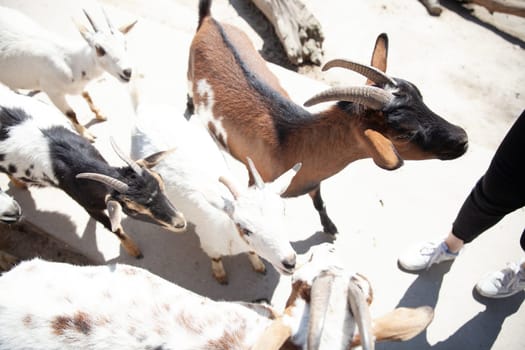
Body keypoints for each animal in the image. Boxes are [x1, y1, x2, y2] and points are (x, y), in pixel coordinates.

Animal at [0, 4, 137, 142]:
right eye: (99, 48)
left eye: (125, 44)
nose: (127, 72)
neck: (72, 61)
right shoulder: (53, 92)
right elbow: (71, 113)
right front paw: (86, 134)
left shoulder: (79, 86)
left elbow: (87, 95)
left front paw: (100, 114)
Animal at [0, 86, 187, 258]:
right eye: (132, 209)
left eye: (160, 180)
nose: (180, 223)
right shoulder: (88, 206)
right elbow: (115, 228)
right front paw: (134, 250)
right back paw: (18, 183)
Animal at [131, 82, 300, 284]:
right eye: (245, 229)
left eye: (283, 212)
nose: (290, 262)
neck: (227, 229)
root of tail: (144, 110)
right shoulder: (208, 241)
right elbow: (216, 258)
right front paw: (221, 276)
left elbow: (252, 254)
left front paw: (259, 265)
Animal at [187, 0, 466, 235]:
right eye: (404, 132)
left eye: (420, 95)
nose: (463, 138)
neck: (290, 141)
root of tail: (211, 20)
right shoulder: (258, 180)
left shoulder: (314, 181)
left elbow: (320, 203)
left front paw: (330, 228)